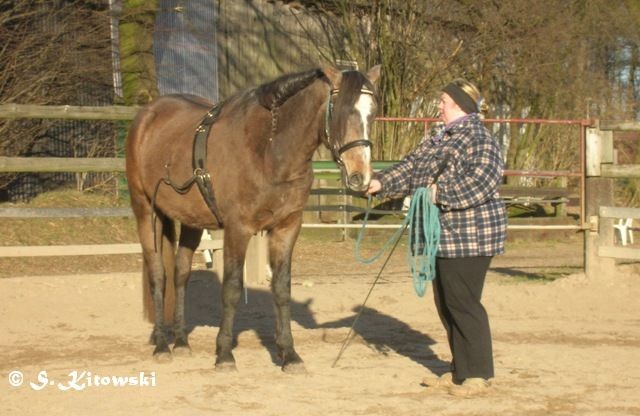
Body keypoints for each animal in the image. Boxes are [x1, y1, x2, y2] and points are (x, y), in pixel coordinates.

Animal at [125, 66, 380, 374]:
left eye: (372, 113)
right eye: (341, 111)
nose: (360, 177)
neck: (268, 151)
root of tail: (147, 115)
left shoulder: (286, 229)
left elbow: (281, 289)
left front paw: (289, 354)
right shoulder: (238, 229)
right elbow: (232, 289)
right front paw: (224, 354)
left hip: (191, 222)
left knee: (181, 275)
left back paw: (182, 342)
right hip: (145, 212)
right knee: (158, 276)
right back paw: (163, 345)